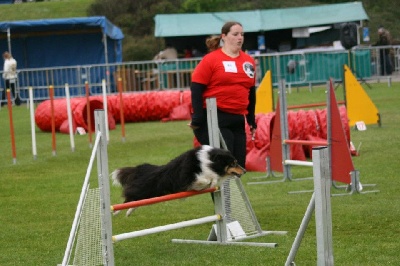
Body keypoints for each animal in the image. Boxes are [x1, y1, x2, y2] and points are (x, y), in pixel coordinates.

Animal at [111, 145, 245, 214]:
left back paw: (129, 212)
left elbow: (212, 180)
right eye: (233, 163)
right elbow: (204, 180)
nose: (244, 171)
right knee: (129, 198)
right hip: (143, 189)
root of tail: (141, 168)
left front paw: (212, 184)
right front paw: (206, 183)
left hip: (151, 194)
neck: (210, 161)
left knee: (137, 201)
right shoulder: (188, 177)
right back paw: (117, 211)